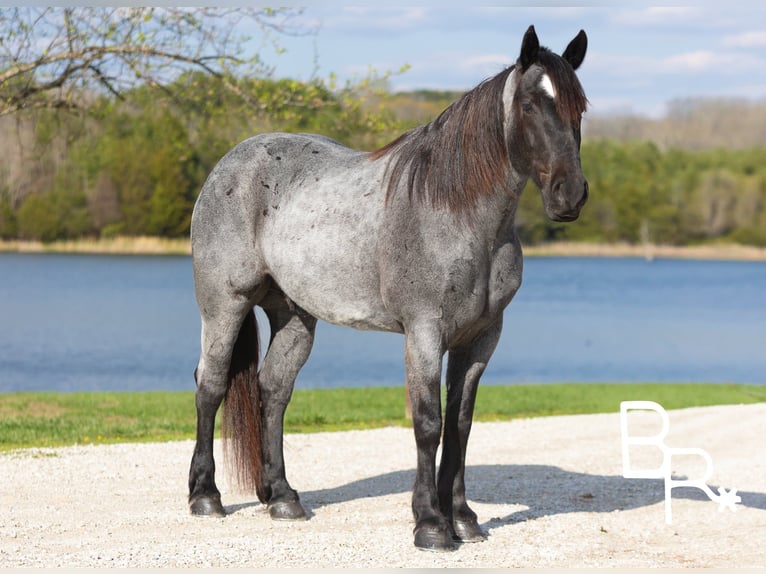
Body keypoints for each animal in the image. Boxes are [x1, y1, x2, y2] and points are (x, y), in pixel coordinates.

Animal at [187, 24, 589, 551]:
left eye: (580, 107)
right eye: (528, 105)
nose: (571, 195)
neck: (456, 212)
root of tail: (228, 166)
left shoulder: (481, 337)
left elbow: (460, 424)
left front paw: (463, 519)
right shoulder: (424, 334)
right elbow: (428, 423)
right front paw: (431, 524)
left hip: (294, 317)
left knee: (273, 390)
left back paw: (283, 498)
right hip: (224, 306)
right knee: (210, 386)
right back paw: (205, 497)